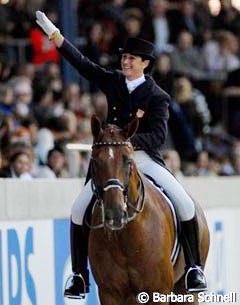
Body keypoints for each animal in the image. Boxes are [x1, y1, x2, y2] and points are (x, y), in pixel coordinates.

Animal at [87, 114, 209, 304]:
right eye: (95, 161)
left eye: (128, 160)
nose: (115, 214)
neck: (127, 238)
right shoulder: (109, 294)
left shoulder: (158, 292)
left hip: (186, 290)